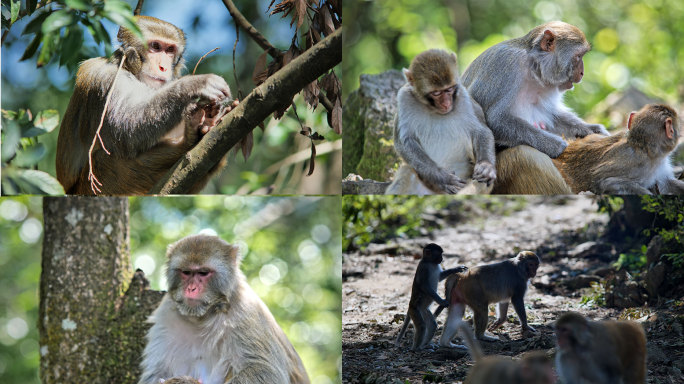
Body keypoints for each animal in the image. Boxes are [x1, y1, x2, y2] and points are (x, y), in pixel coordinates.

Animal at [56, 15, 238, 195]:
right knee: (103, 160)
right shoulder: (105, 77)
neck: (128, 69)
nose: (163, 67)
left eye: (169, 50)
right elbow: (126, 128)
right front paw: (194, 85)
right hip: (93, 186)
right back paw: (187, 142)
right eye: (155, 47)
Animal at [138, 234, 308, 384]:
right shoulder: (166, 314)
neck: (202, 316)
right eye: (186, 272)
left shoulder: (246, 310)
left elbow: (266, 370)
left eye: (203, 272)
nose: (191, 289)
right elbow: (155, 373)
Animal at [384, 48, 496, 195]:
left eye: (449, 89)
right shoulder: (404, 99)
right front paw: (444, 178)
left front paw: (486, 166)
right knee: (407, 171)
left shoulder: (464, 98)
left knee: (481, 182)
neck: (433, 109)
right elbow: (404, 141)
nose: (446, 104)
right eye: (436, 93)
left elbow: (481, 131)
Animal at [462, 22, 608, 194]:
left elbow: (552, 117)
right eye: (578, 56)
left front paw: (593, 129)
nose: (582, 73)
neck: (533, 68)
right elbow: (492, 119)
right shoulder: (505, 67)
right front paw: (555, 144)